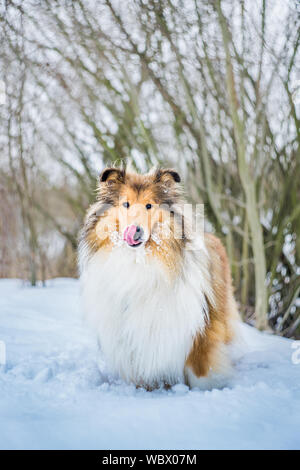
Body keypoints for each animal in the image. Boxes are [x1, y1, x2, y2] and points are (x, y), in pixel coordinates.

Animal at [79, 167, 239, 392]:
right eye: (125, 204)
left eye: (149, 205)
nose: (135, 231)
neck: (139, 259)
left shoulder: (201, 327)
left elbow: (200, 367)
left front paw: (206, 390)